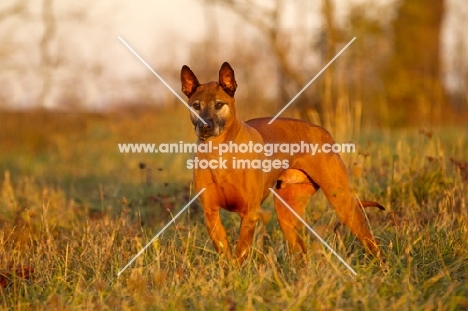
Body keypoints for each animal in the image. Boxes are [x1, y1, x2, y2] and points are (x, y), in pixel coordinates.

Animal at [180, 61, 384, 266]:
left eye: (219, 104)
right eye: (196, 106)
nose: (205, 127)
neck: (219, 152)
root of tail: (323, 131)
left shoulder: (249, 214)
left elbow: (240, 253)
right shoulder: (211, 214)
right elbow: (225, 254)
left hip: (343, 203)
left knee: (371, 243)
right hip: (287, 212)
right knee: (301, 253)